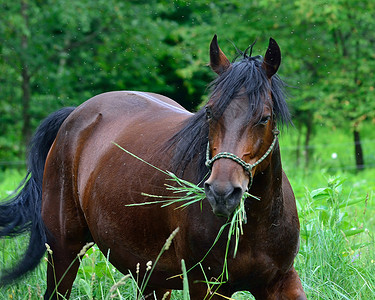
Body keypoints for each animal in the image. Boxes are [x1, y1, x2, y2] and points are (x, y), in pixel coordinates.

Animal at [0, 35, 306, 300]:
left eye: (264, 117)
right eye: (209, 112)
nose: (222, 193)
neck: (255, 226)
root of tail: (74, 115)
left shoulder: (280, 281)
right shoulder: (207, 287)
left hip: (151, 277)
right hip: (64, 253)